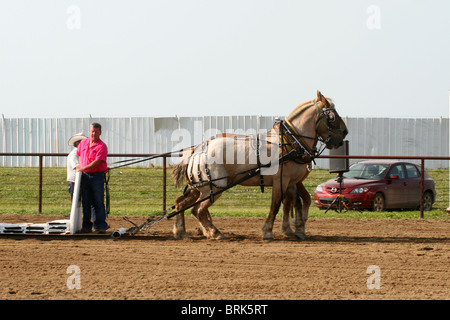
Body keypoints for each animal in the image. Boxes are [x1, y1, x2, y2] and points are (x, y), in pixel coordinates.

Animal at [172, 90, 348, 240]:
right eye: (332, 116)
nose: (344, 134)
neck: (290, 141)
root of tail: (197, 150)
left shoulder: (291, 182)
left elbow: (290, 204)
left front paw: (290, 231)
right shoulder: (280, 181)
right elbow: (276, 206)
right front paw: (268, 232)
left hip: (200, 188)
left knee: (181, 203)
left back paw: (182, 232)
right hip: (214, 187)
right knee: (197, 209)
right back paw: (214, 233)